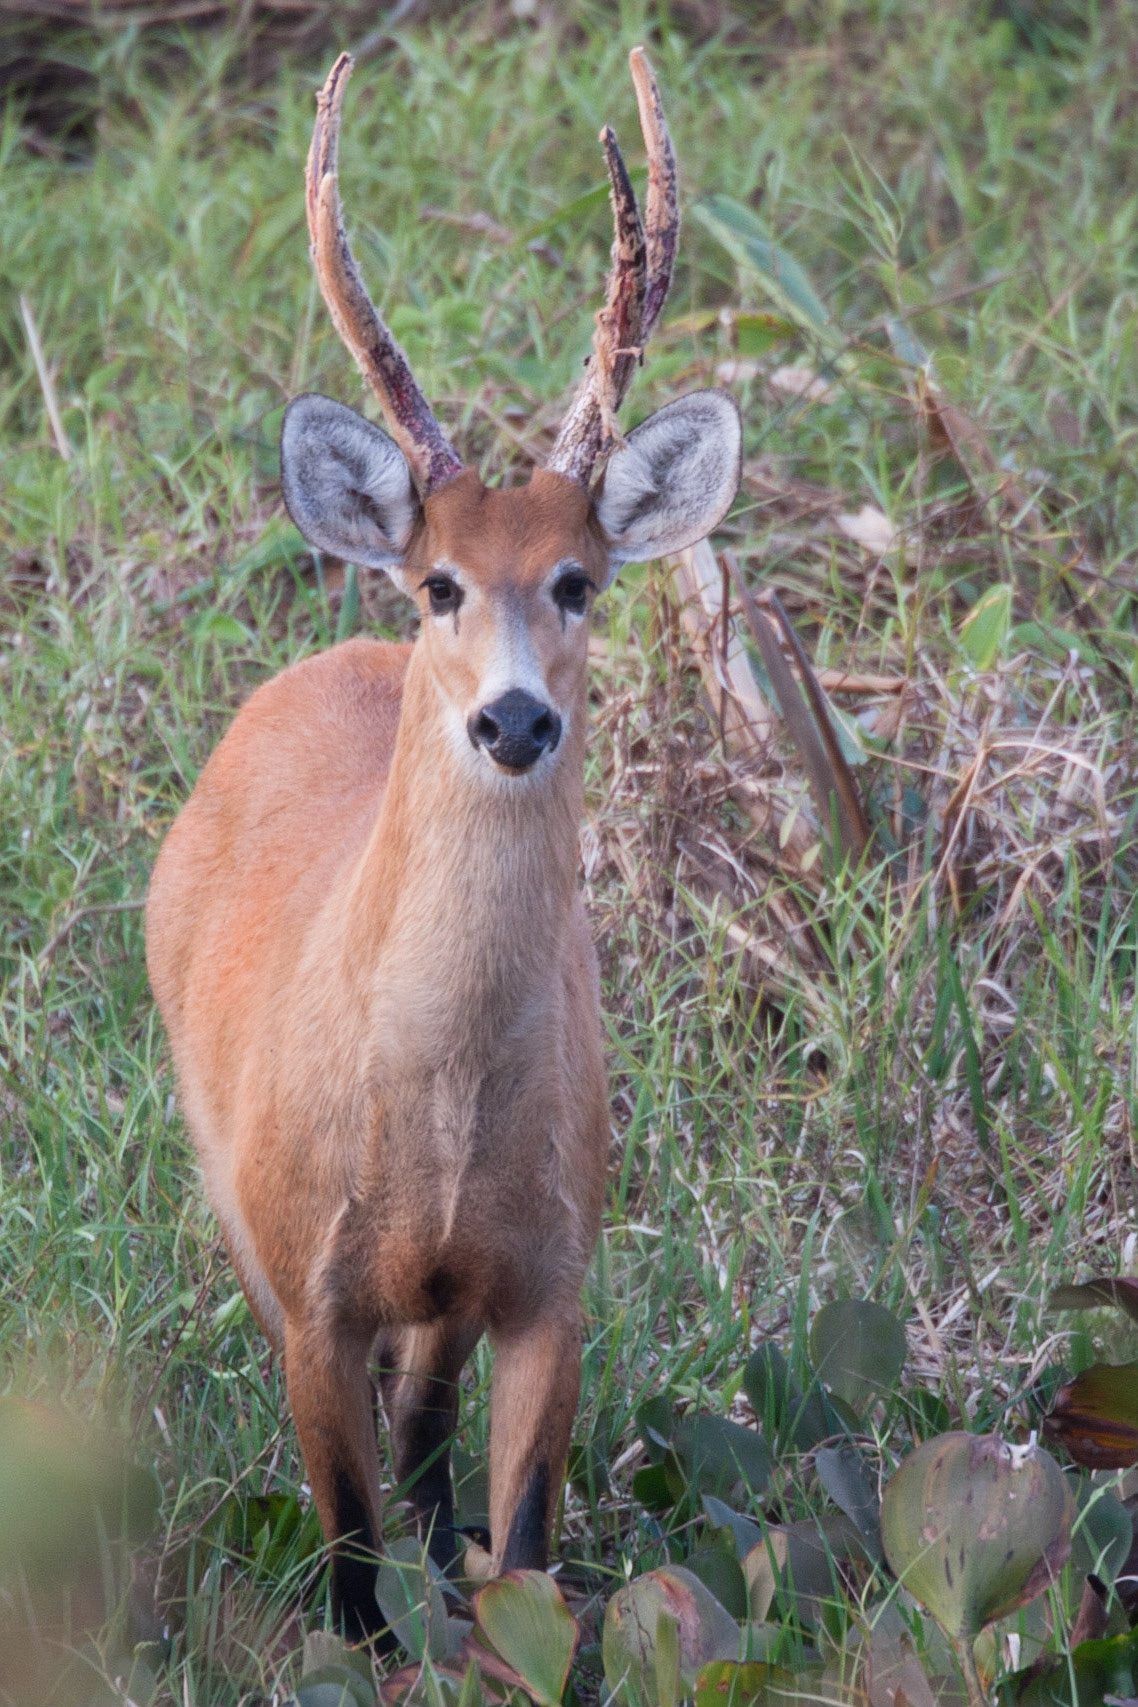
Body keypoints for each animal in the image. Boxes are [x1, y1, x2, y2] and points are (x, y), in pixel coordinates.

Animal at [145, 48, 741, 1641]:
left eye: (579, 579)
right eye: (439, 583)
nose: (514, 717)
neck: (442, 1115)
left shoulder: (548, 1278)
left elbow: (525, 1545)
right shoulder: (308, 1275)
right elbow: (348, 1571)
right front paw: (376, 1629)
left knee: (427, 1436)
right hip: (231, 1189)